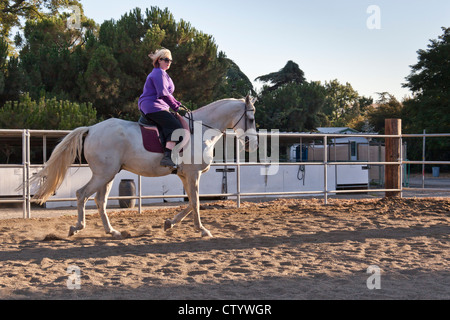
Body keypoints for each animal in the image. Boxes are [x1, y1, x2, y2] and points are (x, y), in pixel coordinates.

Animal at [30, 96, 256, 239]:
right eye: (251, 119)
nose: (252, 144)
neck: (201, 130)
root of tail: (92, 129)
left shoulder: (185, 175)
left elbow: (192, 203)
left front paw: (170, 223)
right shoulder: (193, 174)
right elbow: (196, 202)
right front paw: (202, 230)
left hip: (108, 175)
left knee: (99, 201)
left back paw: (112, 232)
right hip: (104, 174)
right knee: (82, 194)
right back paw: (77, 227)